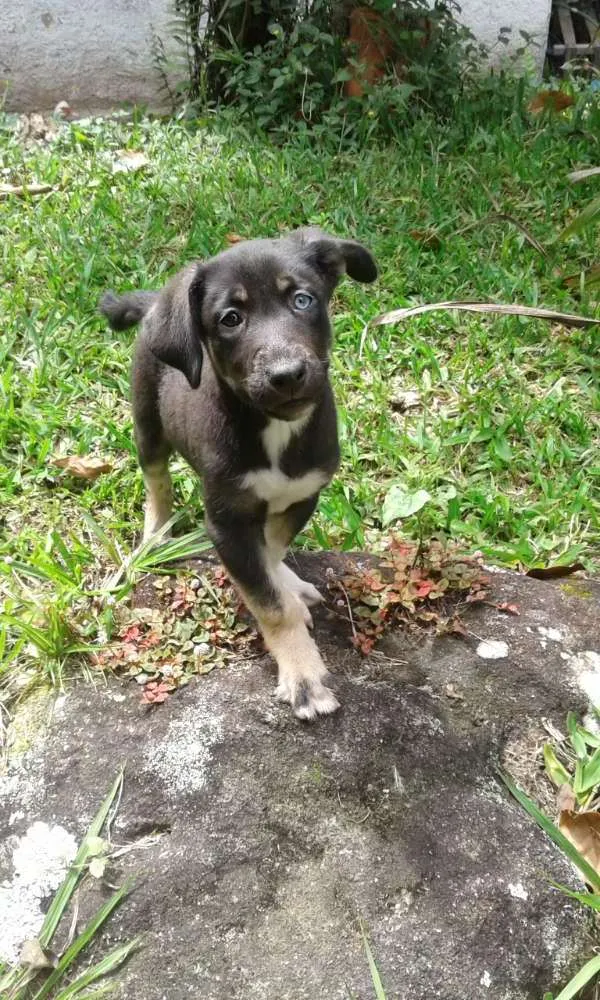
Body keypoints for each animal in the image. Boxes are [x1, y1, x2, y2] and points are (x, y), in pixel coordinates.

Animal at [101, 227, 378, 720]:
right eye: (230, 319)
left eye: (302, 300)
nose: (287, 375)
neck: (274, 429)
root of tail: (154, 304)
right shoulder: (226, 520)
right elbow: (270, 603)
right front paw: (303, 676)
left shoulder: (303, 493)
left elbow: (271, 551)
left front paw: (287, 585)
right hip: (147, 421)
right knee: (157, 480)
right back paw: (155, 533)